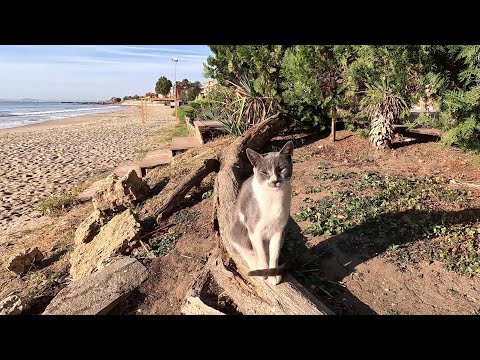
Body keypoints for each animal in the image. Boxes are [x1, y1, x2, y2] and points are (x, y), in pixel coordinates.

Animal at [231, 141, 294, 284]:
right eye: (264, 172)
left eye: (281, 169)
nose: (275, 181)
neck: (274, 197)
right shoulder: (254, 230)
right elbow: (259, 252)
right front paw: (263, 270)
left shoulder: (279, 230)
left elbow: (274, 252)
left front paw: (273, 274)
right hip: (238, 230)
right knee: (245, 249)